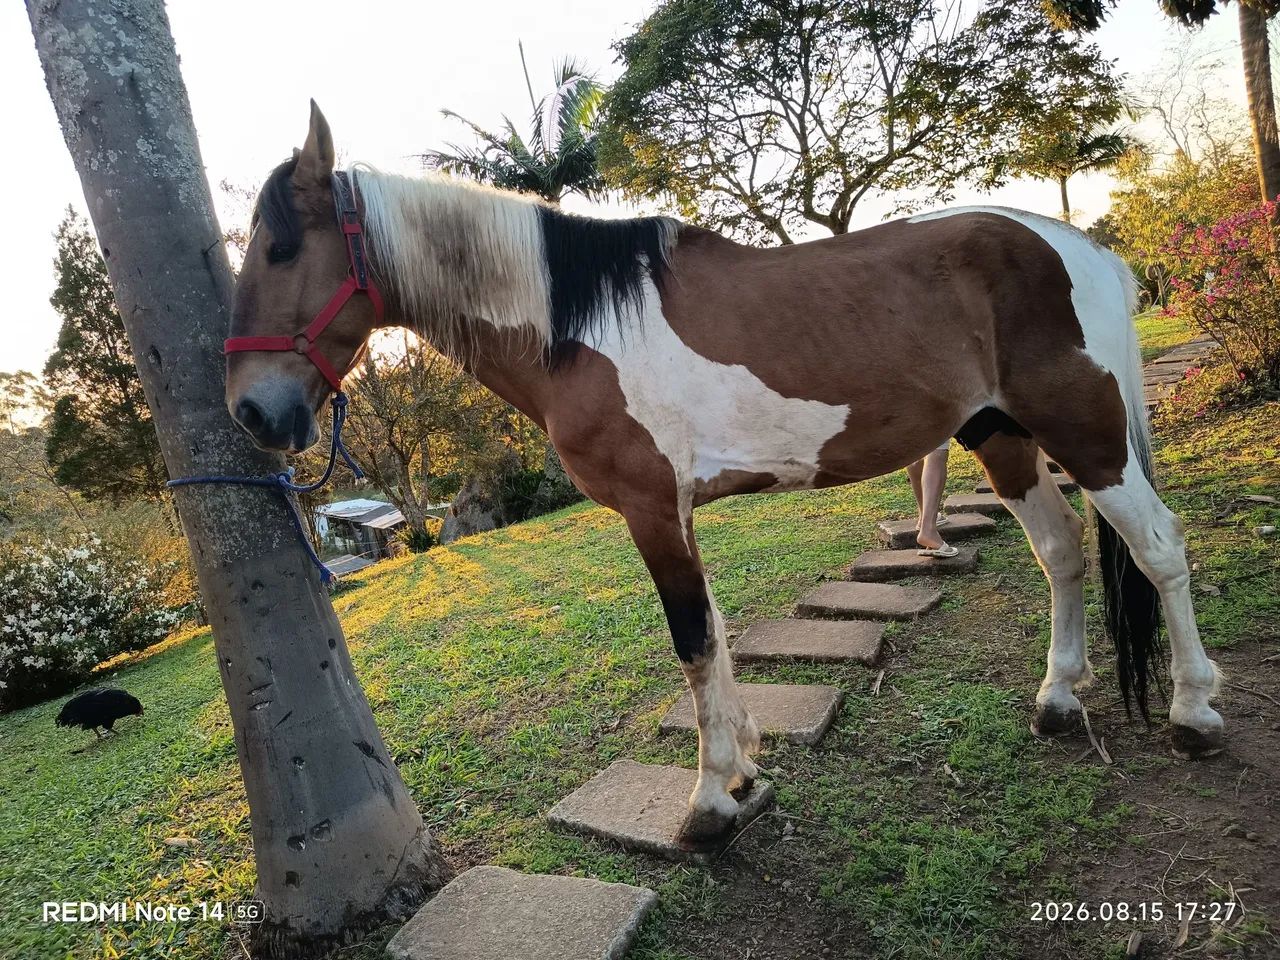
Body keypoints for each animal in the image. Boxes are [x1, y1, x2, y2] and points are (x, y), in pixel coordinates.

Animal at [225, 103, 1224, 848]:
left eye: (281, 248)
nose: (251, 412)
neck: (579, 325)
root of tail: (1082, 247)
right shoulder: (679, 512)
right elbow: (716, 634)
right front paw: (743, 766)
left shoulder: (649, 510)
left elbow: (693, 641)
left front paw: (710, 801)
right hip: (1002, 435)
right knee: (1061, 551)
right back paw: (1056, 698)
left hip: (1086, 432)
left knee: (1159, 547)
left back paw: (1193, 712)